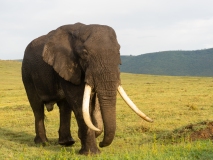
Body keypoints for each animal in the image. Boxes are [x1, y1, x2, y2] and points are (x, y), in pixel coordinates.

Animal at [21, 22, 153, 155]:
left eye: (119, 51)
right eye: (85, 53)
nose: (101, 143)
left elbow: (94, 103)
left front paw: (91, 134)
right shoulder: (69, 65)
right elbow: (79, 104)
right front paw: (91, 153)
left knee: (64, 107)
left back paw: (66, 143)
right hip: (27, 74)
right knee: (37, 107)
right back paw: (42, 143)